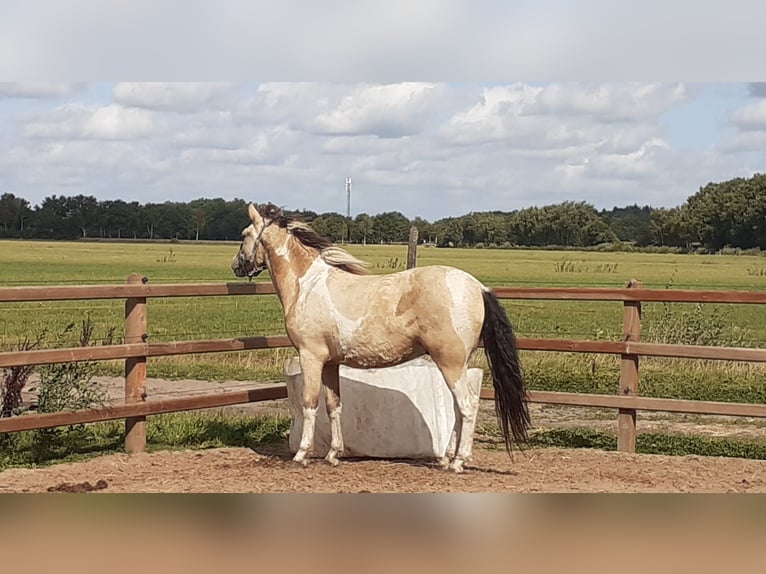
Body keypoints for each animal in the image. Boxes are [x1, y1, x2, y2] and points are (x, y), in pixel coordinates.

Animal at [231, 202, 530, 473]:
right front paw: (333, 455)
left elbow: (310, 404)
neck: (307, 285)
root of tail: (478, 288)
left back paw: (458, 462)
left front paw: (302, 454)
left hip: (451, 363)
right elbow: (334, 406)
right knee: (459, 409)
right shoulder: (330, 363)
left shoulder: (311, 357)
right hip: (460, 364)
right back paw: (447, 458)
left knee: (467, 407)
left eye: (244, 233)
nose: (236, 266)